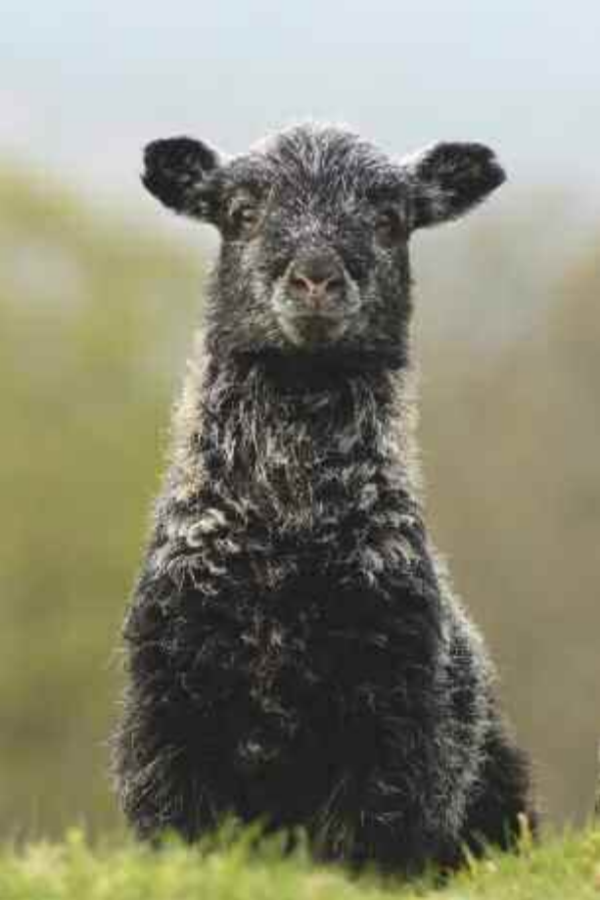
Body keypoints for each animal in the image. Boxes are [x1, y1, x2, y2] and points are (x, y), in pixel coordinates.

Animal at [112, 123, 537, 874]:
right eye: (240, 213)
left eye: (391, 219)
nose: (315, 278)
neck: (286, 526)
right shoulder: (169, 705)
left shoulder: (394, 713)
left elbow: (367, 846)